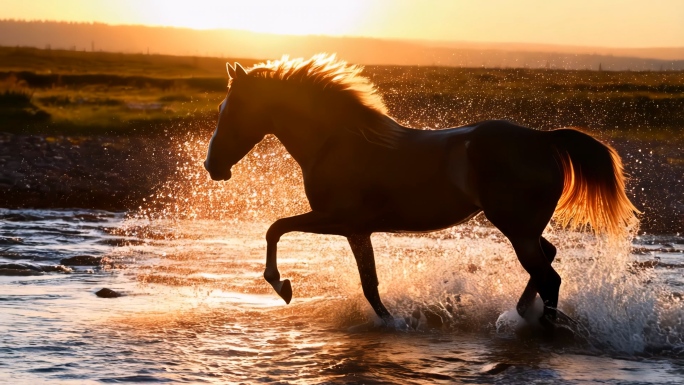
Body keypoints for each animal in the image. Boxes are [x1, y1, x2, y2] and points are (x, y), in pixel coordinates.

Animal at [200, 52, 640, 332]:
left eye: (232, 109)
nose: (212, 166)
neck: (336, 141)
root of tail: (542, 139)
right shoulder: (356, 230)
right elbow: (369, 283)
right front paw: (392, 321)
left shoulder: (339, 220)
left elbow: (275, 228)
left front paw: (282, 285)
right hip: (524, 229)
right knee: (547, 260)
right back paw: (518, 314)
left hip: (516, 229)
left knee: (549, 277)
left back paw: (536, 328)